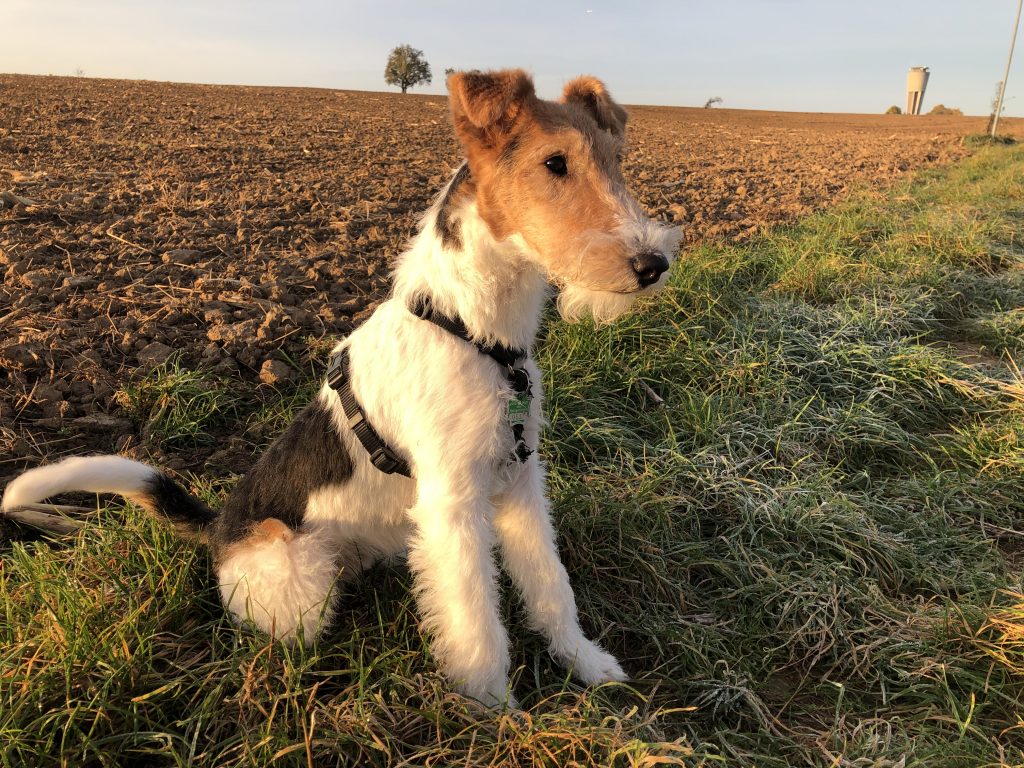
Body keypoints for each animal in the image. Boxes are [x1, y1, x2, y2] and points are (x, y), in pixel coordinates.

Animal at [6, 72, 688, 708]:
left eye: (615, 160)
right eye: (554, 163)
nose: (653, 264)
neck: (474, 331)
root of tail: (220, 527)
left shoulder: (520, 479)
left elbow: (550, 587)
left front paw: (587, 664)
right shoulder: (453, 498)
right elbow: (477, 617)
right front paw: (493, 708)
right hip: (300, 576)